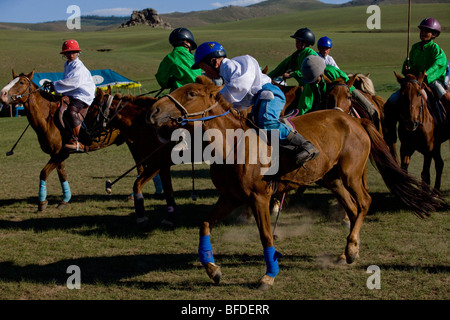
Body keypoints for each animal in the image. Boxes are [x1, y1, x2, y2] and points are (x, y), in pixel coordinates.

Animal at [0, 70, 136, 210]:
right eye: (11, 80)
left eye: (21, 82)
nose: (2, 94)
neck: (48, 118)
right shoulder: (56, 154)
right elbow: (62, 174)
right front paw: (64, 199)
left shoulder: (61, 154)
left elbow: (44, 173)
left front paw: (42, 202)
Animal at [148, 77, 442, 290]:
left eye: (191, 94)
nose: (154, 110)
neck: (233, 145)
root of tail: (355, 120)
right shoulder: (230, 198)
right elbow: (205, 224)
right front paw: (213, 270)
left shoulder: (260, 198)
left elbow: (266, 236)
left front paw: (268, 276)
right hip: (332, 179)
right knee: (352, 208)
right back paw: (348, 252)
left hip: (351, 174)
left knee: (364, 203)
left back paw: (351, 248)